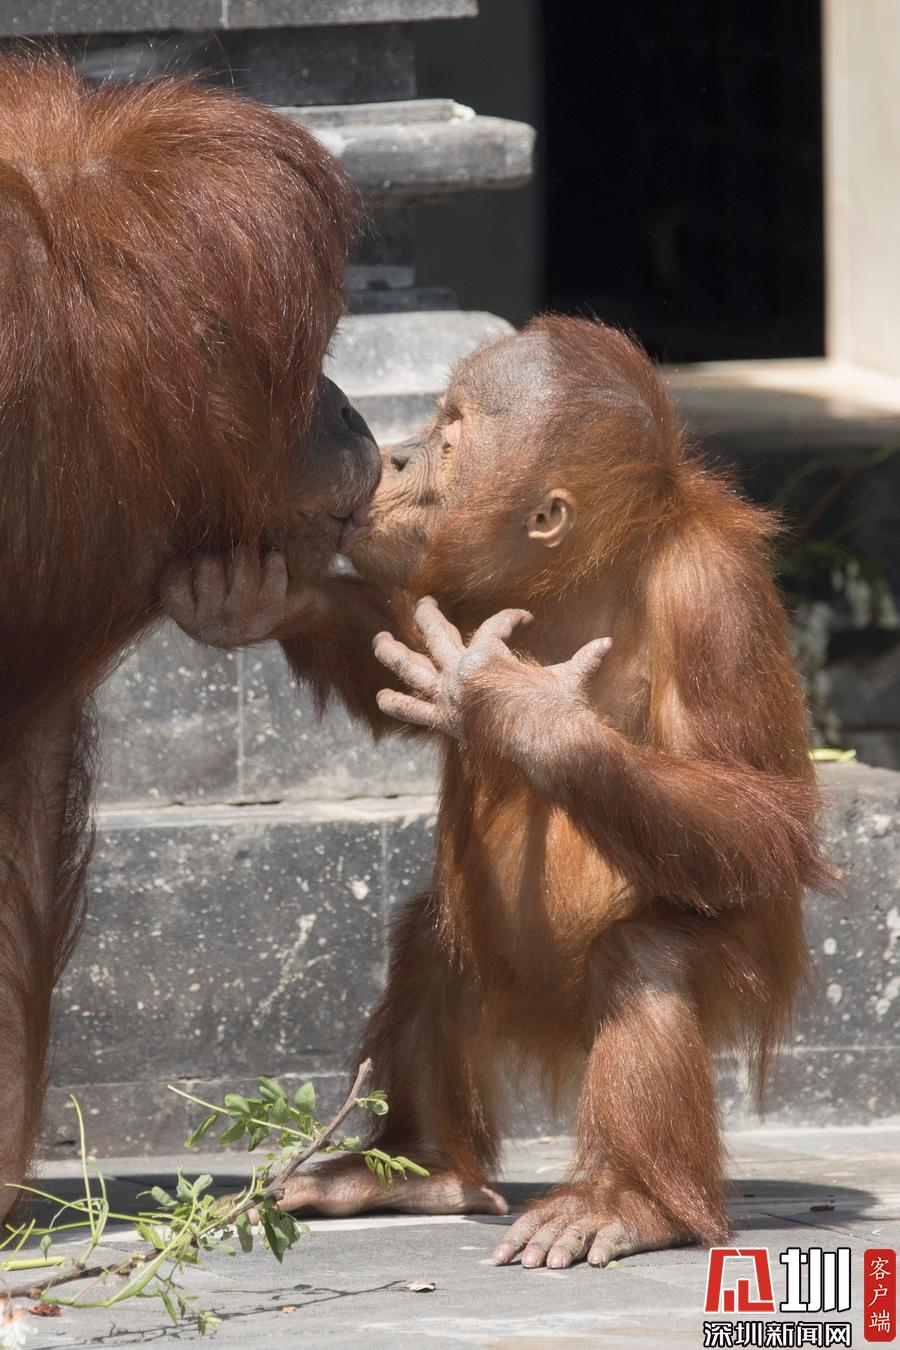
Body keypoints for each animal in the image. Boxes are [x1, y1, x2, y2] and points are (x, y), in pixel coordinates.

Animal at [163, 315, 827, 1267]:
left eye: (449, 438)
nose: (396, 455)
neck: (585, 568)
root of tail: (554, 1021)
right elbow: (400, 644)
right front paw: (259, 600)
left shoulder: (714, 599)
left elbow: (762, 814)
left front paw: (514, 706)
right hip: (497, 969)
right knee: (432, 943)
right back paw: (418, 1169)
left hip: (749, 976)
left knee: (645, 959)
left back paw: (629, 1202)